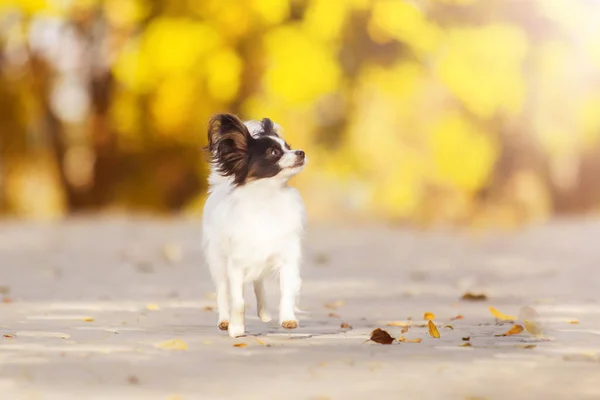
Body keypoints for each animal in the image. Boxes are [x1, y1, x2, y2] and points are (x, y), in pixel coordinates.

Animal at [202, 113, 308, 338]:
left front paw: (288, 319)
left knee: (259, 283)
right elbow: (238, 301)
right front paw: (236, 328)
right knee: (223, 291)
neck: (268, 197)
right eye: (274, 152)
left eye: (288, 147)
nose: (301, 152)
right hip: (218, 261)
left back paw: (265, 313)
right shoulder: (235, 265)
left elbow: (287, 291)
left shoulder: (287, 258)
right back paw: (224, 320)